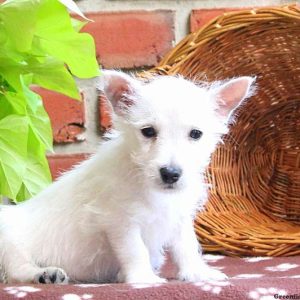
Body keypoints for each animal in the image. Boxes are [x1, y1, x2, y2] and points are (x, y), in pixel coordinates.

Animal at [0, 69, 255, 284]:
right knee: (17, 269)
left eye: (196, 134)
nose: (170, 174)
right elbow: (135, 250)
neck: (152, 189)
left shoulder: (180, 219)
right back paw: (45, 273)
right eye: (148, 131)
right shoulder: (121, 223)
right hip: (10, 239)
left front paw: (197, 272)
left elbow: (187, 247)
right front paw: (144, 278)